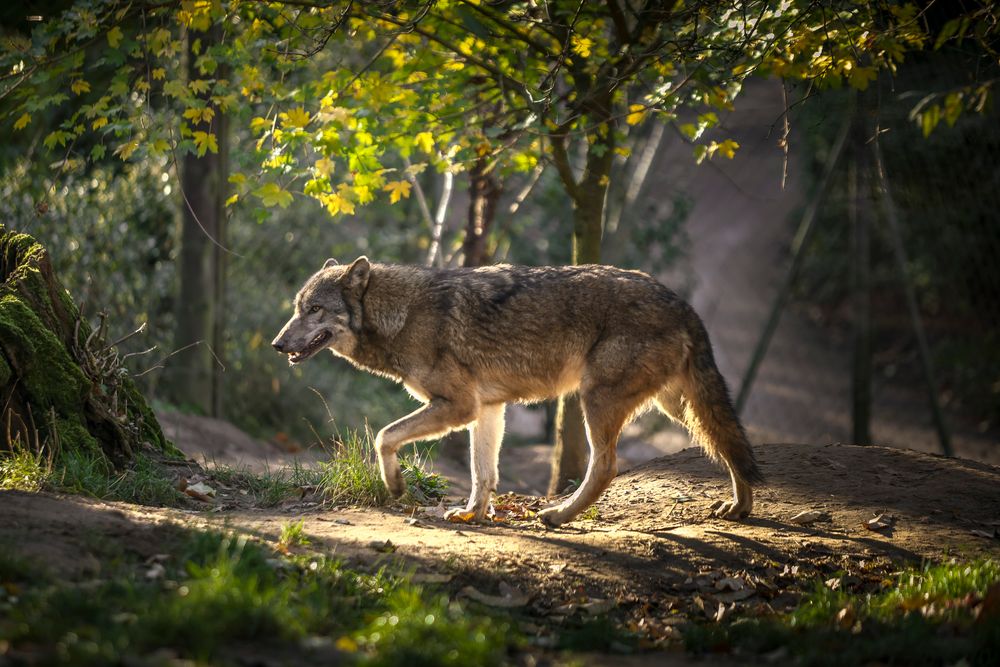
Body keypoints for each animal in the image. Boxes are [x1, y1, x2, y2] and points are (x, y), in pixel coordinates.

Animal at [272, 257, 763, 527]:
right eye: (297, 308)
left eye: (315, 310)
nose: (277, 344)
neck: (402, 314)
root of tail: (682, 303)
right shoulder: (487, 408)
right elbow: (482, 473)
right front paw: (473, 515)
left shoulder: (458, 406)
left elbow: (383, 436)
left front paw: (394, 486)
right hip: (680, 408)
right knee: (728, 444)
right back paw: (739, 507)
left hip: (597, 401)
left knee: (605, 467)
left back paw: (558, 516)